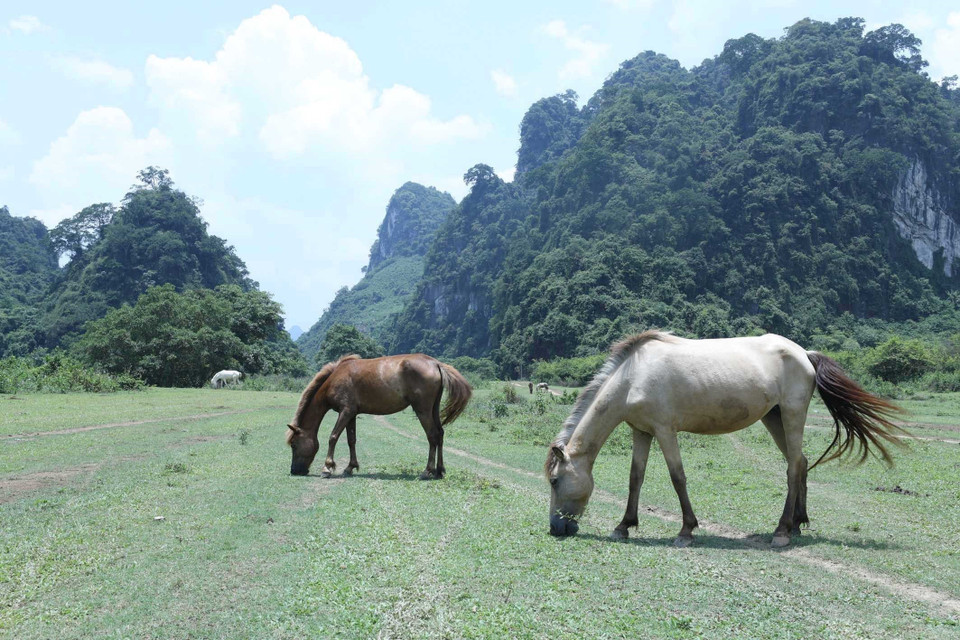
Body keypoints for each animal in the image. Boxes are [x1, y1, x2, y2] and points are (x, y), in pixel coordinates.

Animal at [286, 354, 472, 479]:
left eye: (294, 445)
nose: (294, 470)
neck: (335, 378)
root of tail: (435, 363)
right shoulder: (351, 414)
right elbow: (351, 440)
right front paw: (350, 467)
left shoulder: (345, 411)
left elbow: (333, 437)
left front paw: (327, 468)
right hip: (433, 409)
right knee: (440, 434)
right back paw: (439, 471)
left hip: (423, 410)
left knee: (432, 436)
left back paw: (427, 471)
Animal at [545, 331, 906, 548]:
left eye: (554, 481)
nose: (555, 528)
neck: (634, 376)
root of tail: (804, 352)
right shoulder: (642, 431)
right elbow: (636, 478)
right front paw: (623, 526)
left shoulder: (665, 430)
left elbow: (677, 477)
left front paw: (686, 530)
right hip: (774, 418)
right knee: (800, 463)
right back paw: (797, 524)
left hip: (791, 415)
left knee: (792, 467)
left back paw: (781, 532)